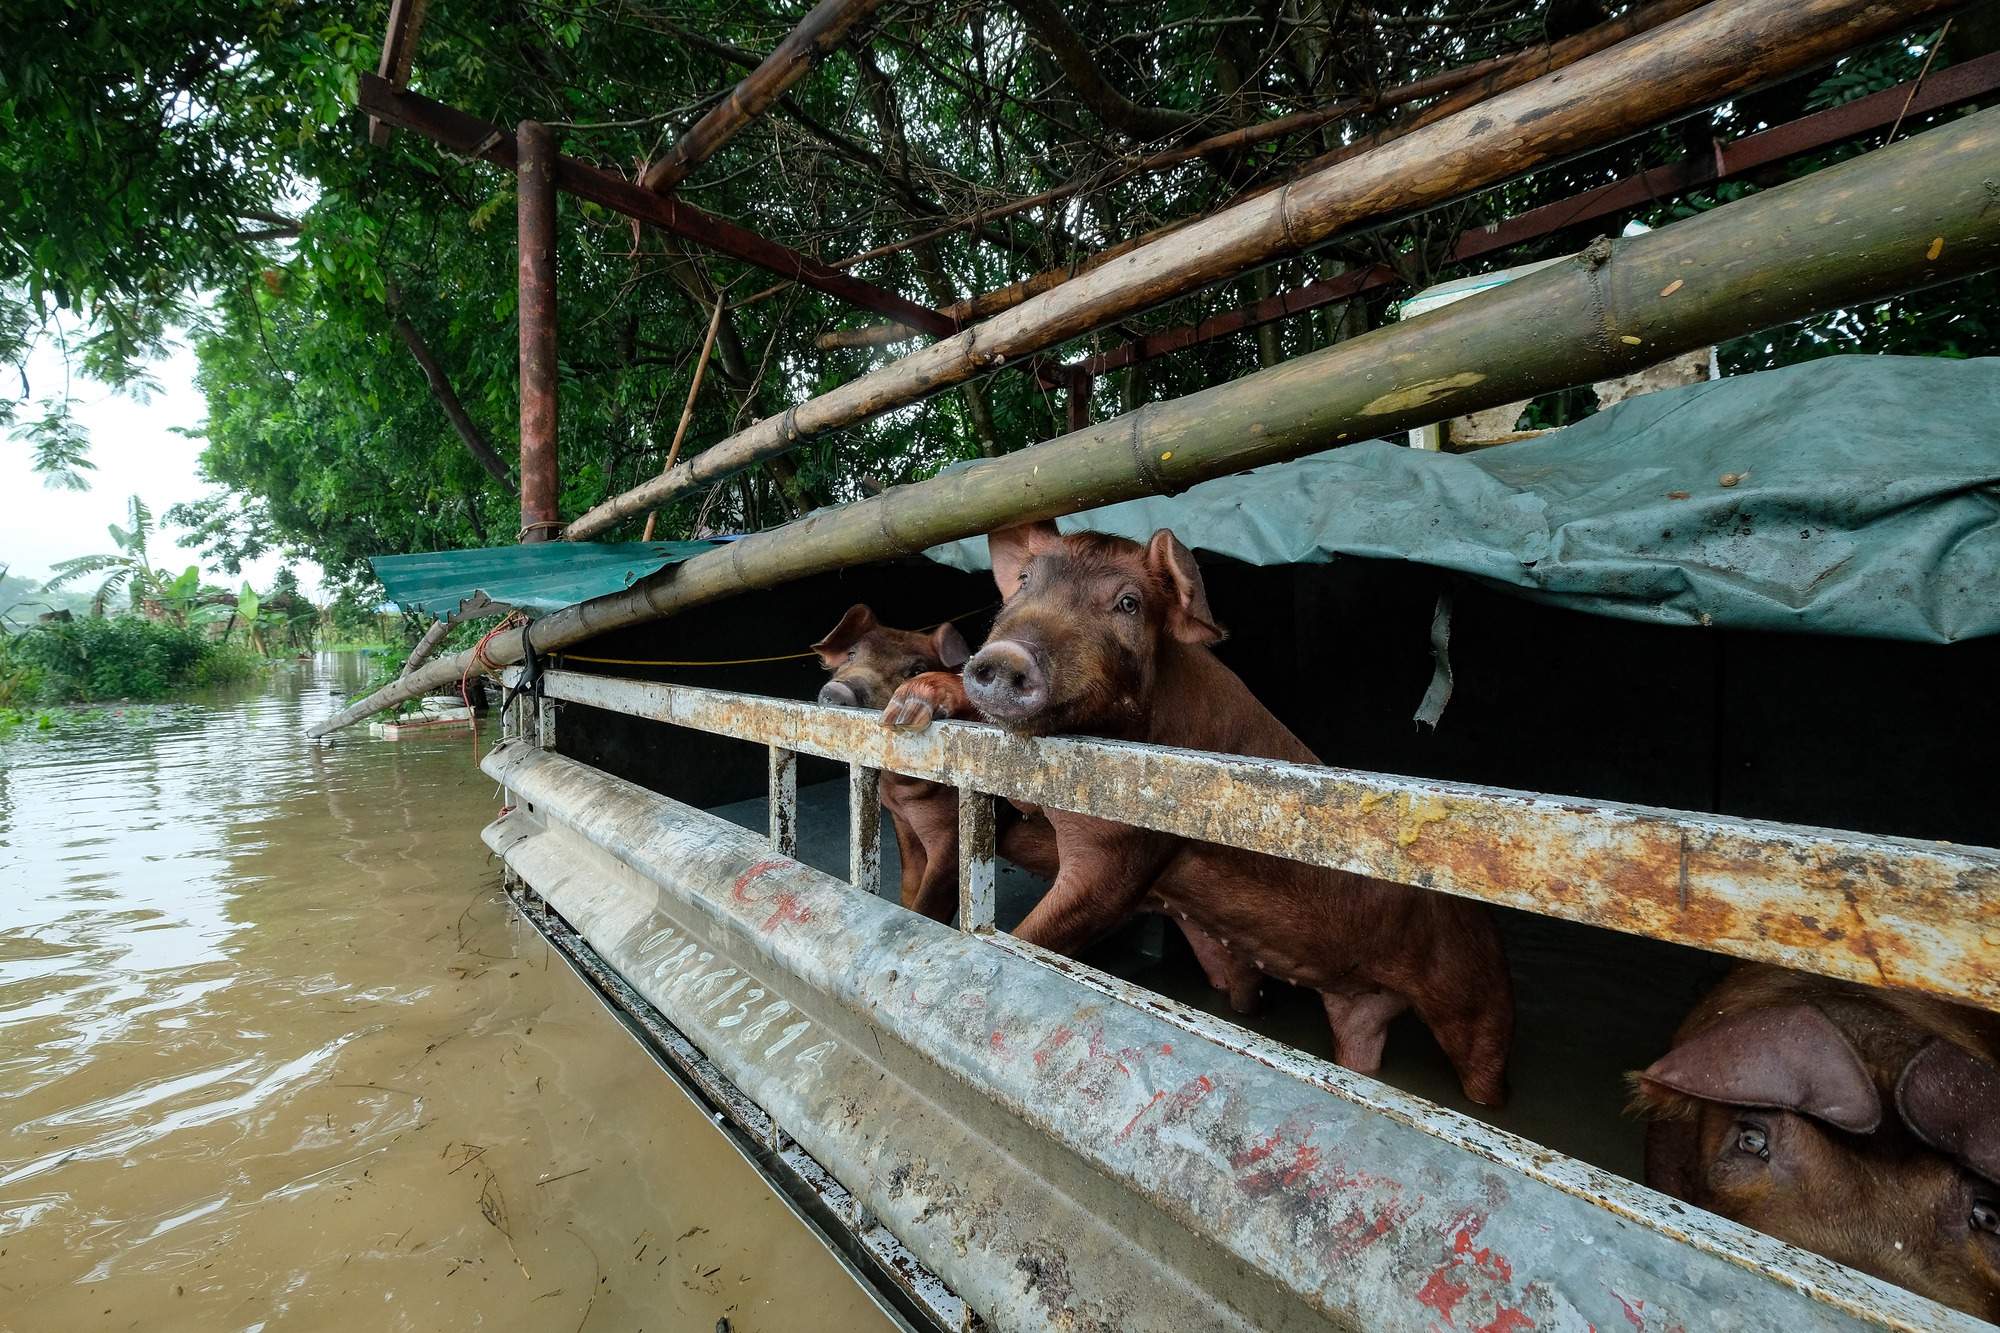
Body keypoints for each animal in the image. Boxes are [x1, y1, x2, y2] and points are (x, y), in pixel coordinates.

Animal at [812, 608, 1064, 920]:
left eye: (916, 670)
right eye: (851, 654)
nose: (838, 692)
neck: (902, 791)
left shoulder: (952, 837)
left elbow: (929, 902)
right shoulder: (902, 822)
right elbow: (909, 888)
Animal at [892, 520, 1512, 1096]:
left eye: (1128, 603)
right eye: (1024, 581)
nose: (1004, 655)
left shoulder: (1129, 839)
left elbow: (1046, 929)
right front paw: (908, 708)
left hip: (1474, 995)